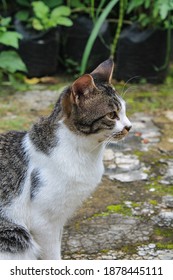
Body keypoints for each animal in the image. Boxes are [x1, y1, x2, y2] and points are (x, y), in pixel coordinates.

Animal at [0, 58, 132, 260]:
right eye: (112, 115)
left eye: (124, 111)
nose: (129, 126)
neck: (86, 154)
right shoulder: (44, 221)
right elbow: (52, 255)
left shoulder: (60, 217)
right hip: (15, 236)